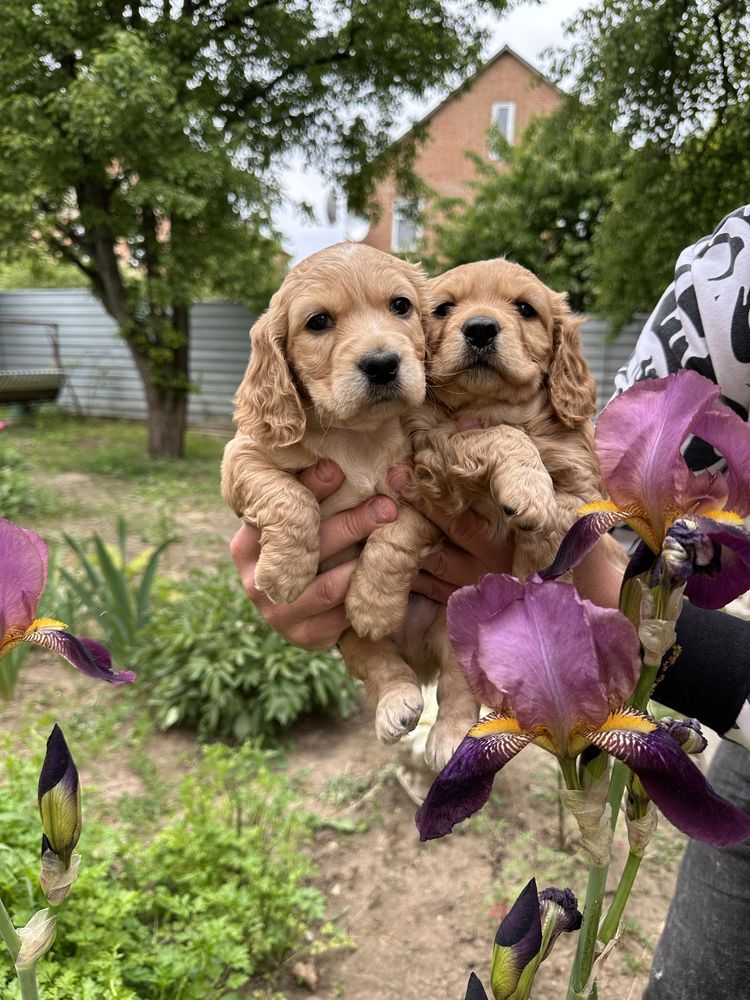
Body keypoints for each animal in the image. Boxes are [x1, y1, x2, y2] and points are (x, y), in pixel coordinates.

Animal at [222, 244, 476, 764]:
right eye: (318, 321)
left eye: (400, 306)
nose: (381, 363)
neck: (359, 435)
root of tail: (418, 656)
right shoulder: (242, 457)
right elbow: (290, 495)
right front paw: (285, 572)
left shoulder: (435, 483)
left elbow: (399, 528)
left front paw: (373, 603)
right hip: (348, 640)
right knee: (384, 667)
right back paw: (396, 705)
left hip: (456, 623)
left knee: (457, 687)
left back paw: (449, 737)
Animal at [406, 254, 604, 576]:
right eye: (444, 308)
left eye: (525, 308)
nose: (480, 328)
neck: (492, 406)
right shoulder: (431, 444)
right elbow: (502, 434)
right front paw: (529, 488)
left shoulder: (582, 483)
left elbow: (558, 521)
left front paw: (535, 576)